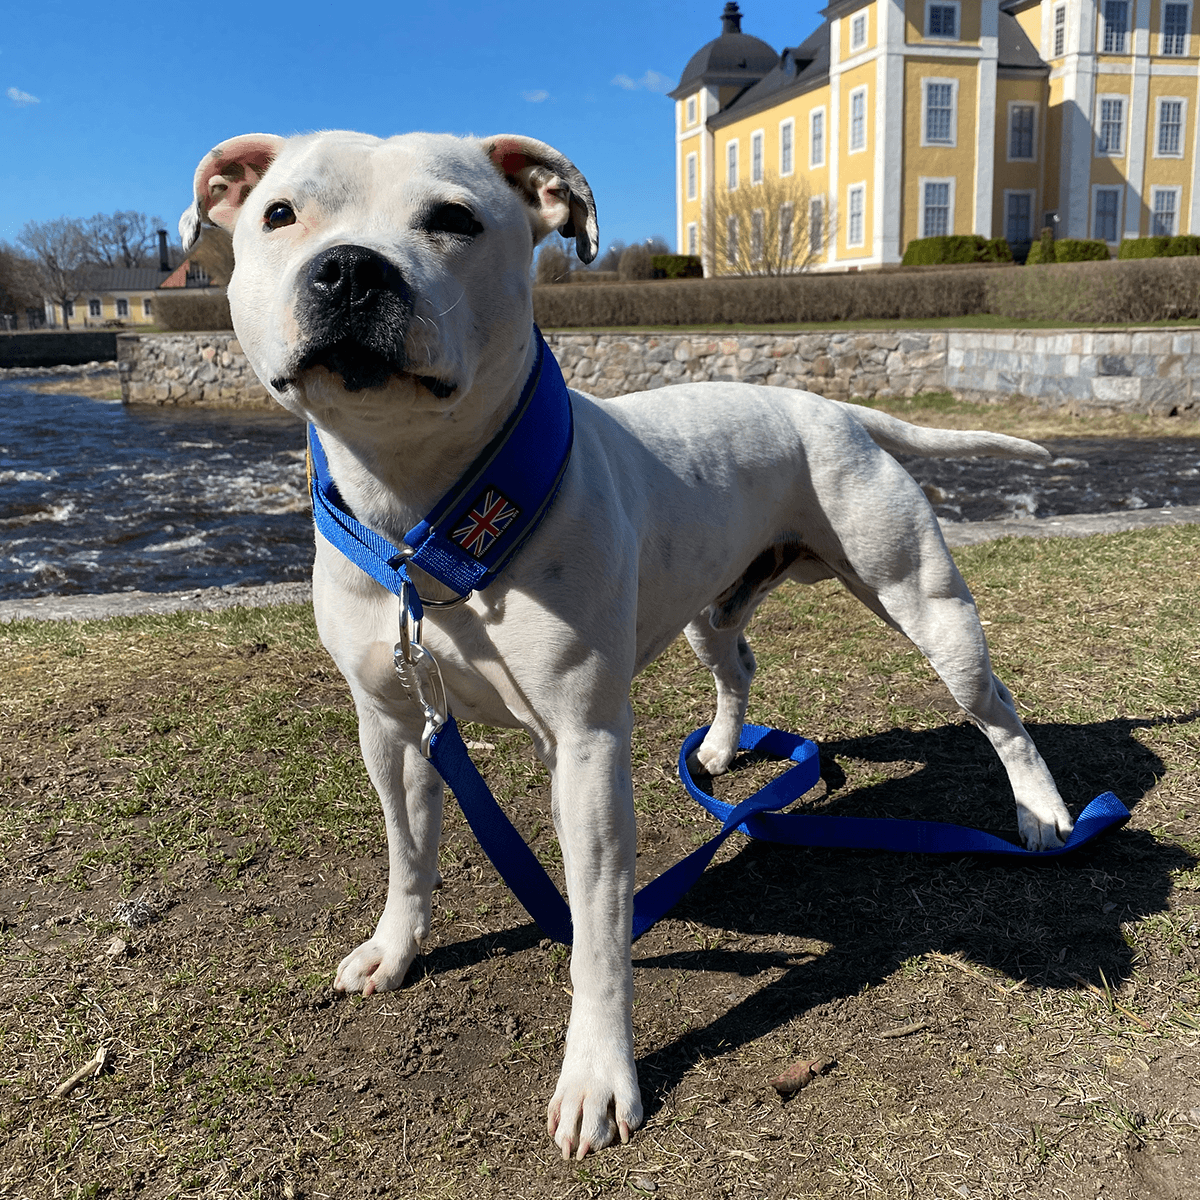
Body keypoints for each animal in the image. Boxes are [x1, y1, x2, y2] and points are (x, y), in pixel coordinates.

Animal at [182, 131, 1075, 1161]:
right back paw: (722, 751)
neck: (422, 518)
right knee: (739, 665)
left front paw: (598, 1077)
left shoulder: (586, 750)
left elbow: (601, 934)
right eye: (280, 215)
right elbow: (409, 856)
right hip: (708, 608)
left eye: (454, 218)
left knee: (998, 712)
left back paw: (1042, 813)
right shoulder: (394, 726)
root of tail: (829, 406)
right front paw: (397, 951)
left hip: (925, 603)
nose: (353, 269)